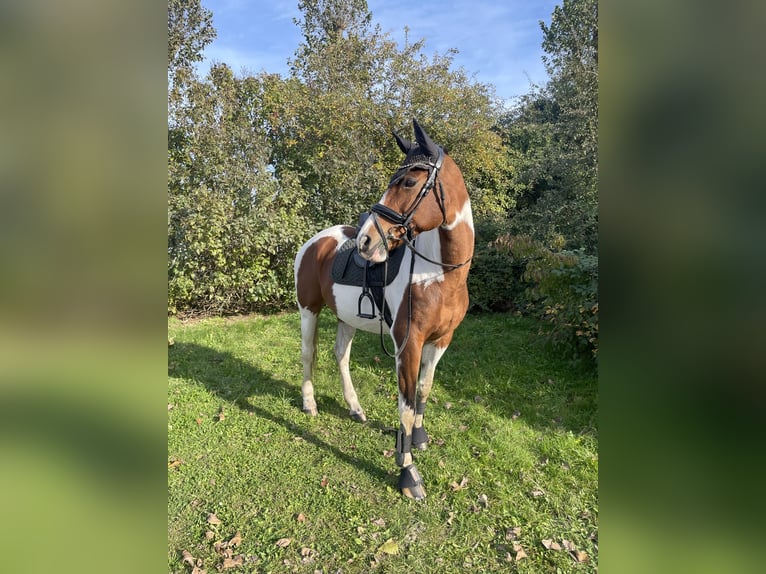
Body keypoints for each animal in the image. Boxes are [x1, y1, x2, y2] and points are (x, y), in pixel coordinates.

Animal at [294, 119, 474, 502]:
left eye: (408, 182)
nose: (366, 240)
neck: (438, 274)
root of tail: (314, 242)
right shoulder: (408, 344)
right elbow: (404, 407)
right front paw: (408, 475)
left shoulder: (441, 341)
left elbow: (423, 390)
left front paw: (419, 439)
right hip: (308, 310)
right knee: (308, 354)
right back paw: (310, 404)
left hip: (346, 318)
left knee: (341, 356)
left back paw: (355, 408)